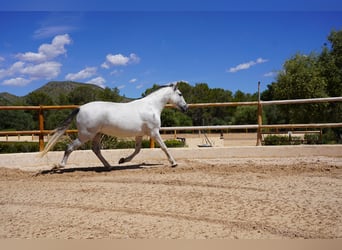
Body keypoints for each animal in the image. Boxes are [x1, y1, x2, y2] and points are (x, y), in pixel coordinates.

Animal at [42, 83, 190, 169]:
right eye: (180, 94)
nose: (186, 108)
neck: (151, 107)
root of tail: (80, 108)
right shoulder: (154, 132)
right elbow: (164, 147)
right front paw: (174, 163)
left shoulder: (139, 134)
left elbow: (137, 150)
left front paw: (122, 160)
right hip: (86, 135)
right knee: (70, 147)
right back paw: (60, 166)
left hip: (97, 134)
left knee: (96, 150)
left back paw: (108, 166)